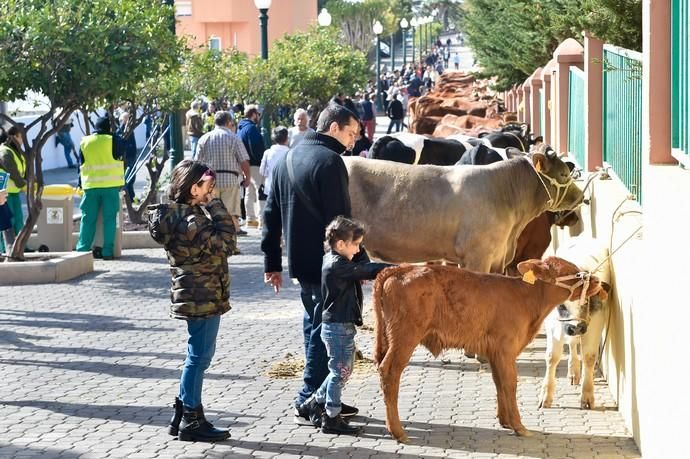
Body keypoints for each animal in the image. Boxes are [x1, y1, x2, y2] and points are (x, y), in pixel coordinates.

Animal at [370, 256, 600, 444]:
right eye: (573, 270)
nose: (598, 281)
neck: (527, 297)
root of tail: (401, 268)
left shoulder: (495, 351)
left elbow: (499, 382)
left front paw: (505, 421)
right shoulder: (506, 348)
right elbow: (510, 383)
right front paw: (519, 427)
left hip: (389, 338)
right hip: (405, 336)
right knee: (389, 371)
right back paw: (398, 432)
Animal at [536, 237, 612, 410]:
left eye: (586, 302)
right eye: (561, 304)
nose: (576, 327)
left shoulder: (596, 322)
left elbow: (589, 357)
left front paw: (587, 397)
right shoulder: (553, 325)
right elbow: (552, 356)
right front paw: (545, 396)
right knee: (571, 343)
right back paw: (573, 372)